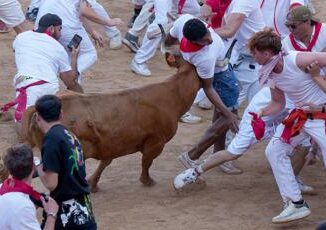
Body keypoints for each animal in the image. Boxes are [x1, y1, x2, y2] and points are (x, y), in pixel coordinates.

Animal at [19, 53, 229, 191]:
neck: (173, 94)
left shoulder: (111, 144)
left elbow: (106, 162)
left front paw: (93, 184)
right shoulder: (156, 142)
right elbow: (146, 162)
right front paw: (147, 181)